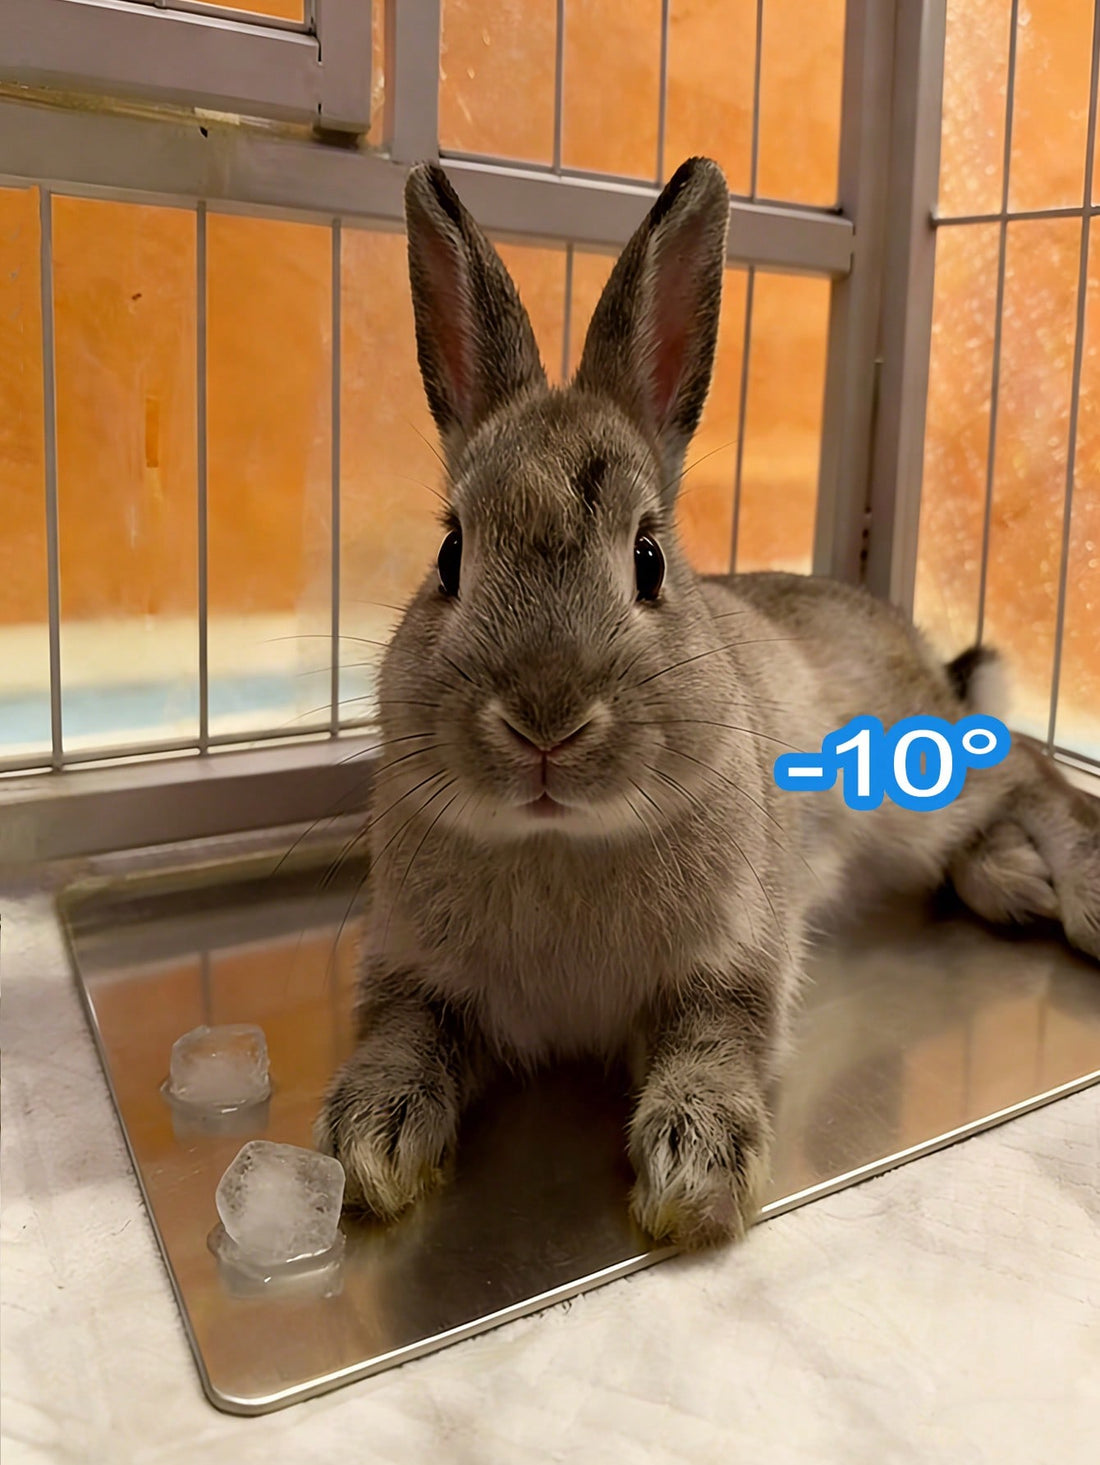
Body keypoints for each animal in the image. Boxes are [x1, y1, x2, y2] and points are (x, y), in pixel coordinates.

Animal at [315, 156, 1100, 1250]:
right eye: (450, 555)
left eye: (649, 559)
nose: (545, 719)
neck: (560, 839)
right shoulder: (412, 972)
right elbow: (401, 1033)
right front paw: (371, 1146)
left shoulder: (734, 958)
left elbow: (716, 1036)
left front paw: (694, 1169)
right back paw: (1011, 880)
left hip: (912, 778)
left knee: (1023, 759)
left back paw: (1079, 892)